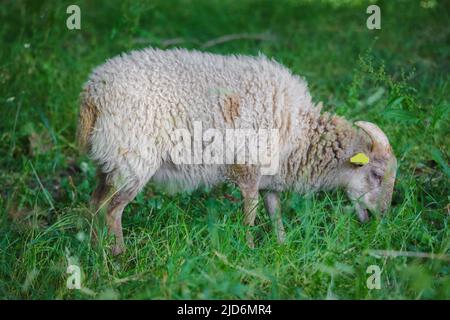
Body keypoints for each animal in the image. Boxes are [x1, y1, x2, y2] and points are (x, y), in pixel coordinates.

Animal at [77, 47, 398, 255]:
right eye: (376, 174)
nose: (381, 218)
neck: (300, 136)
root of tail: (93, 93)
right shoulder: (248, 169)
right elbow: (251, 213)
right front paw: (250, 249)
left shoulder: (270, 178)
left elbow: (275, 211)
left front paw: (281, 245)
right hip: (133, 160)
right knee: (112, 209)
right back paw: (119, 256)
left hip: (110, 161)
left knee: (95, 204)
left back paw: (96, 252)